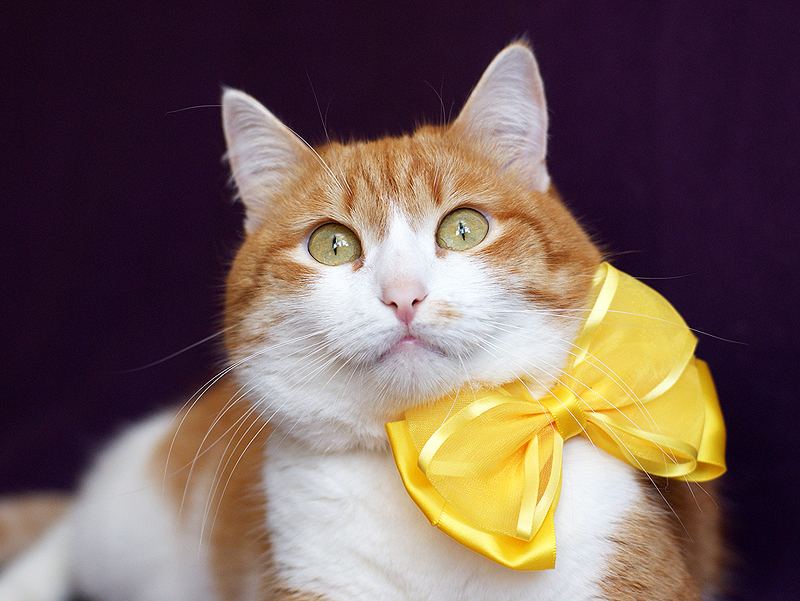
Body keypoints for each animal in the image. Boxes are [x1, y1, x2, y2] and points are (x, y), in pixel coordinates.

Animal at [0, 42, 725, 601]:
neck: (438, 465)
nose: (403, 295)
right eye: (331, 244)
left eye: (464, 228)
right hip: (133, 516)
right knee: (72, 523)